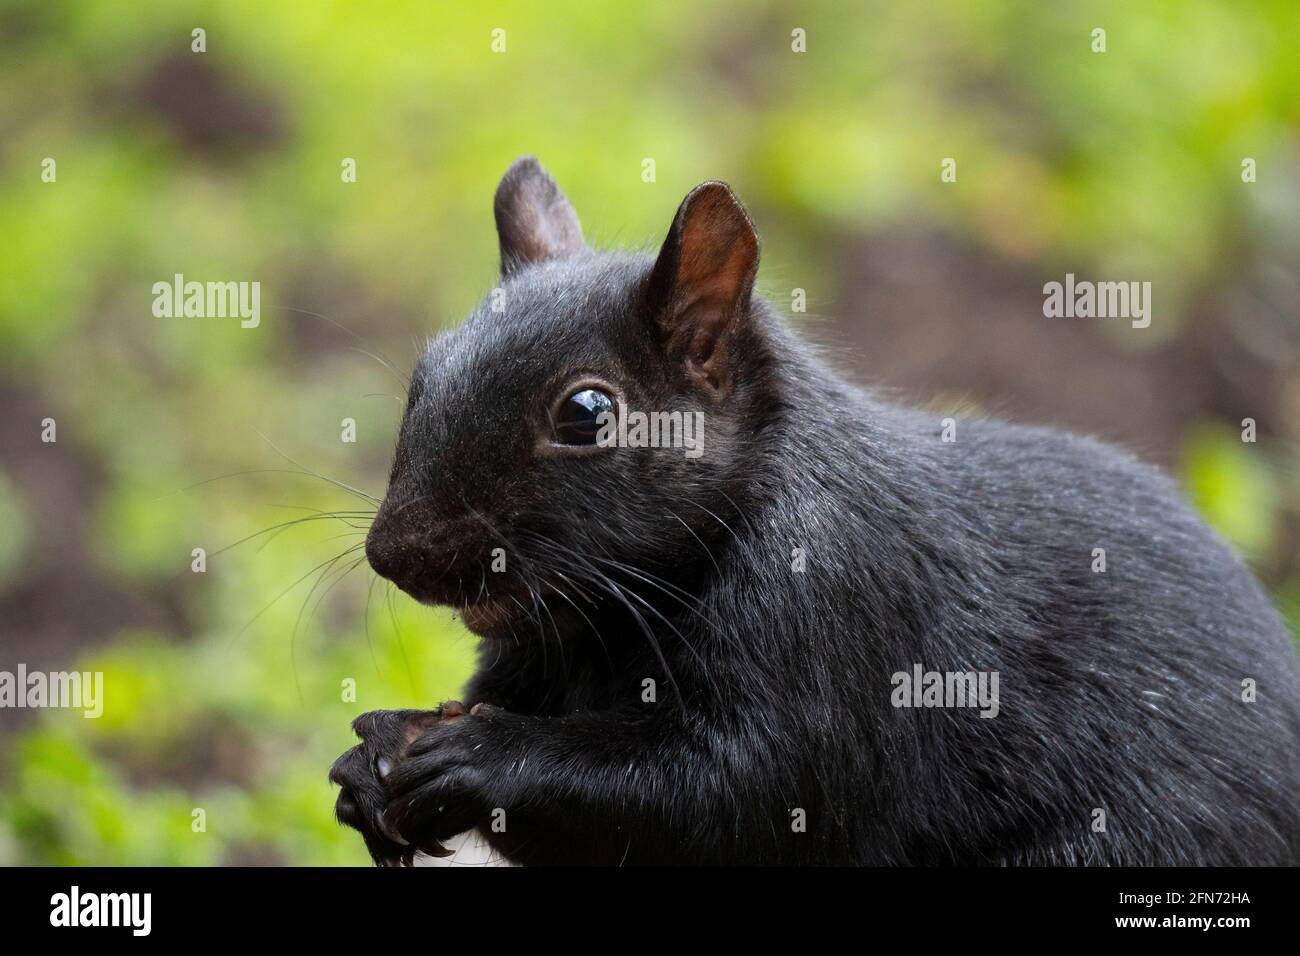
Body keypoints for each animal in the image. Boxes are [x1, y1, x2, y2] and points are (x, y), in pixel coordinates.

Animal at [330, 157, 1300, 868]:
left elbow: (728, 797)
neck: (612, 623)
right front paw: (370, 768)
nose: (397, 554)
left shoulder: (836, 613)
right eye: (426, 371)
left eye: (587, 414)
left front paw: (472, 760)